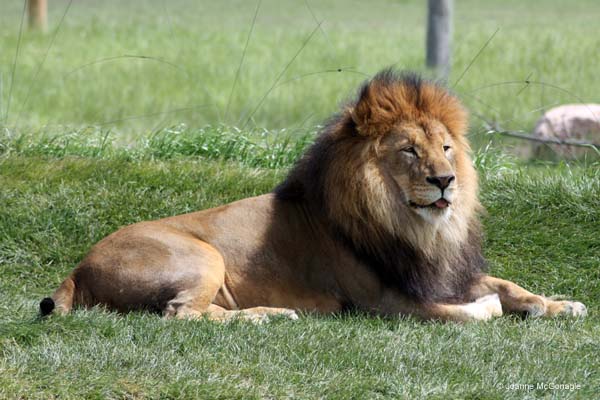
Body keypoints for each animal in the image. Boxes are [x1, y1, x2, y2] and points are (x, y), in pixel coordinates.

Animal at [39, 69, 588, 322]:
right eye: (410, 150)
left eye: (447, 148)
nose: (445, 180)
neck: (418, 228)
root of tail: (78, 268)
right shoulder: (385, 300)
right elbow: (464, 311)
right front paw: (490, 308)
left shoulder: (445, 271)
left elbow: (510, 284)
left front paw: (559, 304)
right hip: (202, 254)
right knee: (183, 315)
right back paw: (269, 316)